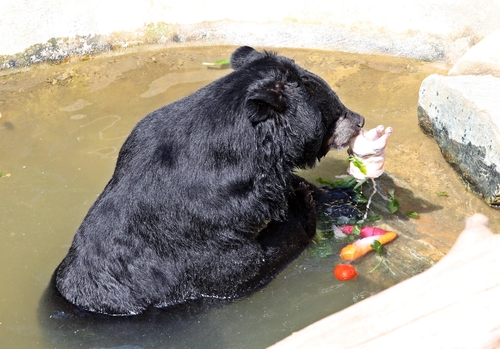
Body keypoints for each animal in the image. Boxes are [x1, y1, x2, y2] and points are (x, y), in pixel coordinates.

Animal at [55, 44, 364, 314]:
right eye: (336, 112)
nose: (360, 119)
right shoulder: (204, 223)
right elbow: (242, 268)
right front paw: (302, 204)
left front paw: (338, 196)